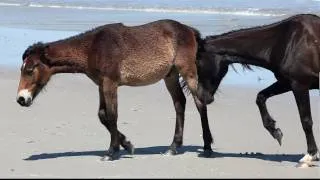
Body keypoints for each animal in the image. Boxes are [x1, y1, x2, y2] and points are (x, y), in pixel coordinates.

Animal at [16, 19, 214, 160]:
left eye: (30, 69)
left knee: (199, 103)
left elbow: (112, 115)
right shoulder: (101, 85)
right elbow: (103, 115)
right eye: (22, 69)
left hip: (187, 71)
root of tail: (188, 30)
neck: (93, 48)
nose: (21, 99)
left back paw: (207, 147)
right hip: (170, 76)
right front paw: (127, 144)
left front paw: (111, 152)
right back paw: (173, 147)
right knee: (180, 103)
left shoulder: (110, 83)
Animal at [194, 13, 318, 163]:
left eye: (198, 64)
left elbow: (305, 120)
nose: (201, 97)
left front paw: (311, 154)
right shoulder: (286, 83)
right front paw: (275, 131)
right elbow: (260, 97)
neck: (286, 41)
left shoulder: (299, 84)